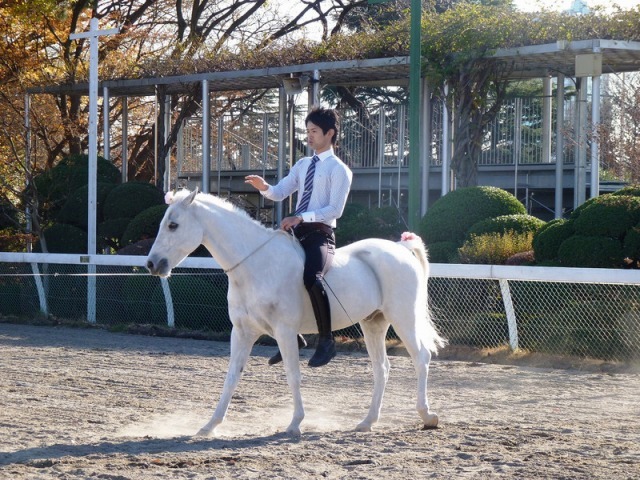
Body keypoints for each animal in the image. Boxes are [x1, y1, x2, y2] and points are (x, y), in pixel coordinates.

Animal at [146, 189, 444, 436]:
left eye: (173, 225)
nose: (152, 264)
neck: (256, 265)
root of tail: (400, 248)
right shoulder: (242, 332)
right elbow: (231, 377)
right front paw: (209, 426)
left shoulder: (285, 332)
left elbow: (292, 375)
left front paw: (295, 423)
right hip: (373, 323)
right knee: (381, 368)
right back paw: (368, 421)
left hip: (403, 317)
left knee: (421, 357)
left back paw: (427, 416)